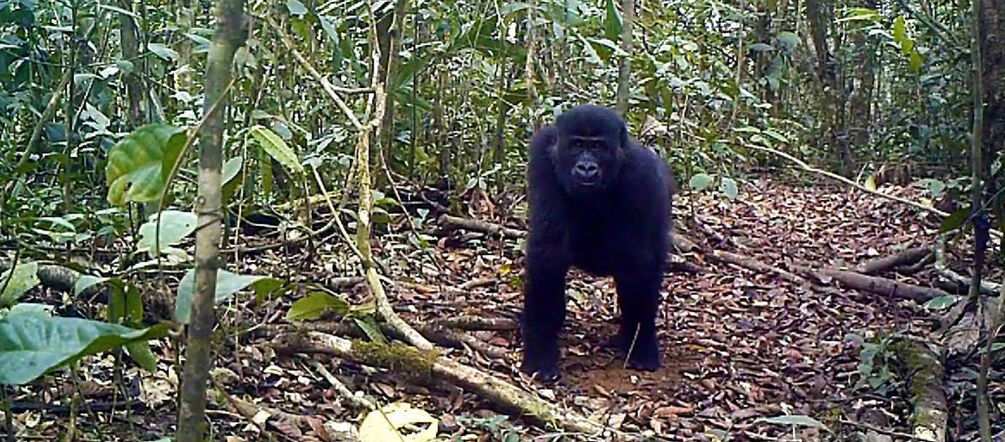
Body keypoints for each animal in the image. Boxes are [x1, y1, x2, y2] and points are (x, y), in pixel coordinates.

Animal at [518, 102, 675, 379]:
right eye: (577, 145)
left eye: (598, 147)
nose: (586, 167)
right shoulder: (542, 159)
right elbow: (548, 250)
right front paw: (540, 350)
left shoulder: (642, 175)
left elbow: (637, 261)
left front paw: (641, 344)